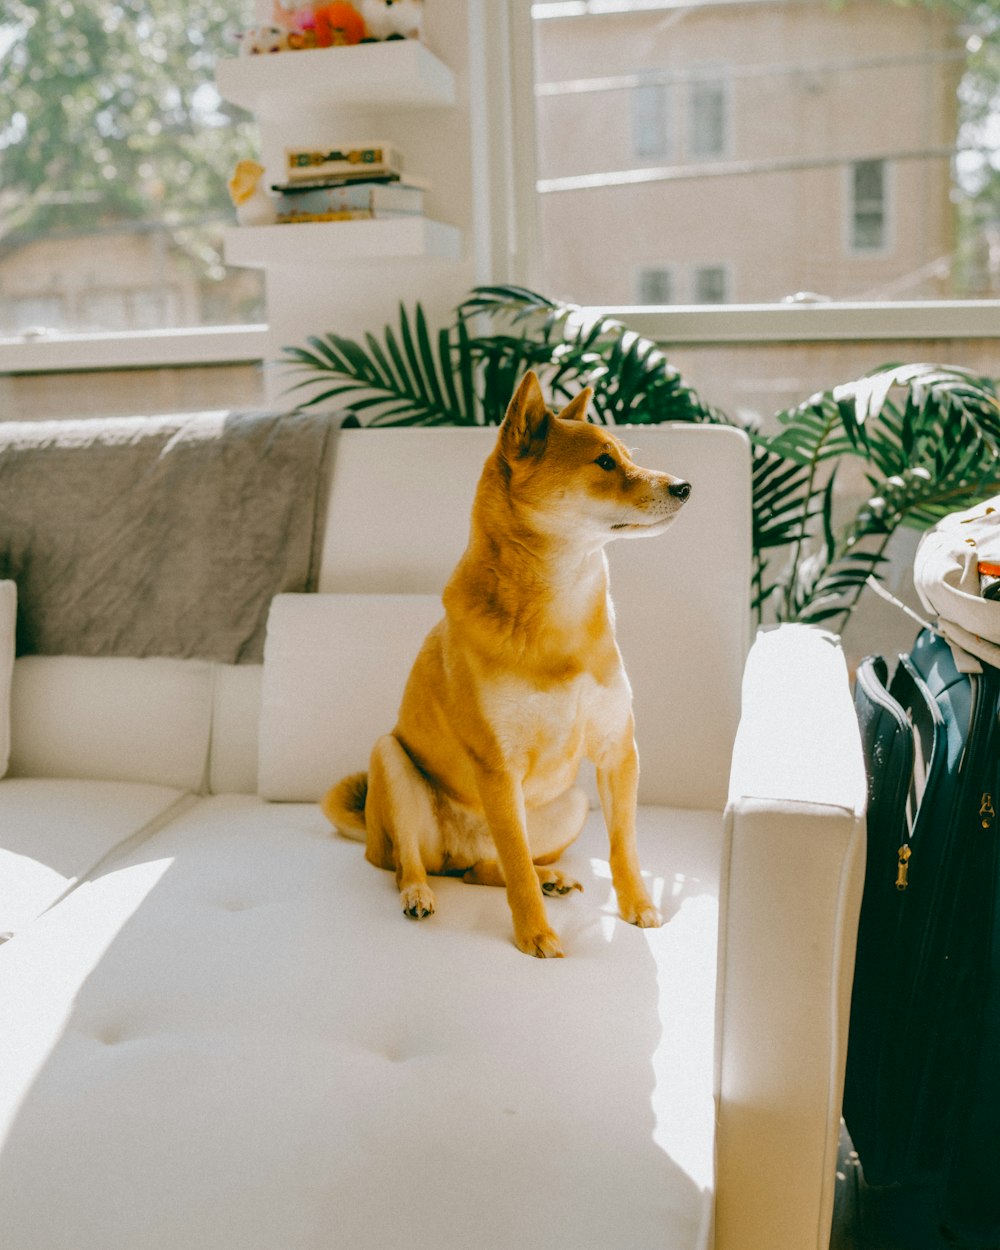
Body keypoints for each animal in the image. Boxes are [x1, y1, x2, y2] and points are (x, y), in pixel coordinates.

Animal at [325, 370, 690, 955]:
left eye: (628, 455)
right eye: (604, 461)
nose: (683, 486)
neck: (562, 612)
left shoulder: (617, 751)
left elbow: (623, 845)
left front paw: (637, 904)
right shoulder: (498, 768)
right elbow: (516, 865)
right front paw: (536, 934)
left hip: (572, 803)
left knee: (485, 869)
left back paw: (549, 876)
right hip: (392, 761)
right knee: (412, 862)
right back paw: (420, 893)